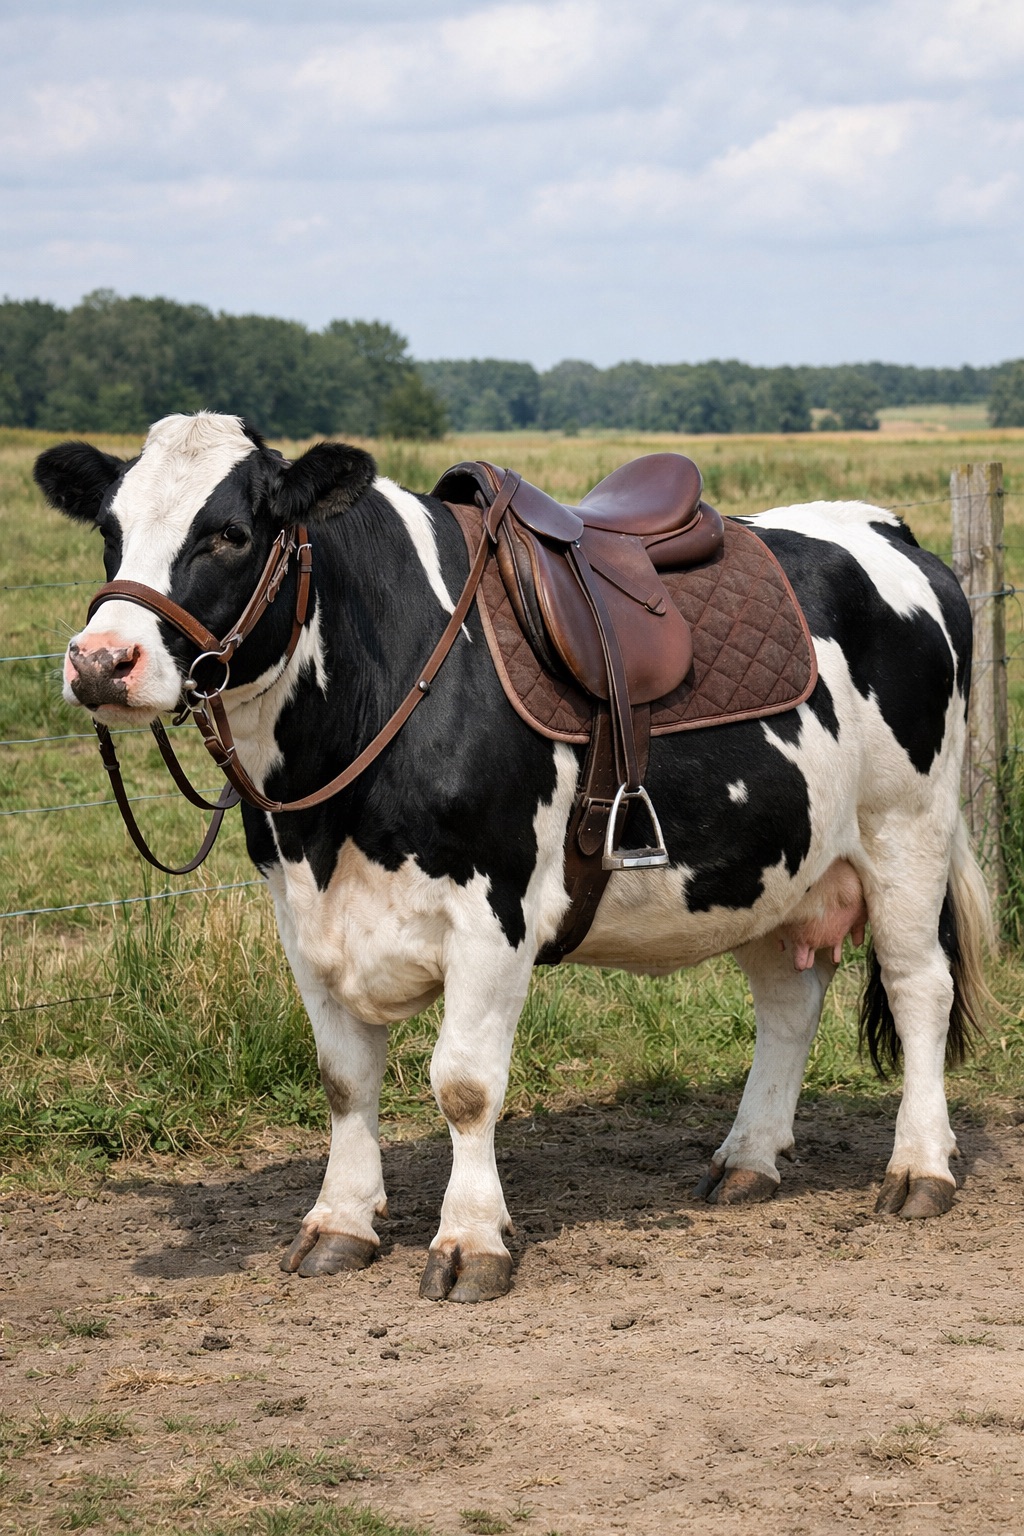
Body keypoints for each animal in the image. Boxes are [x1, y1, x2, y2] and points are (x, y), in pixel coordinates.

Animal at [34, 411, 991, 1303]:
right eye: (110, 528)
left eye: (230, 533)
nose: (100, 660)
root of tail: (883, 527)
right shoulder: (301, 912)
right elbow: (344, 1079)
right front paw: (338, 1223)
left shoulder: (492, 907)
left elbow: (463, 1083)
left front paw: (470, 1241)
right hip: (773, 863)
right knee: (789, 1003)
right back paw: (748, 1159)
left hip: (906, 831)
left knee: (920, 986)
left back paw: (919, 1168)